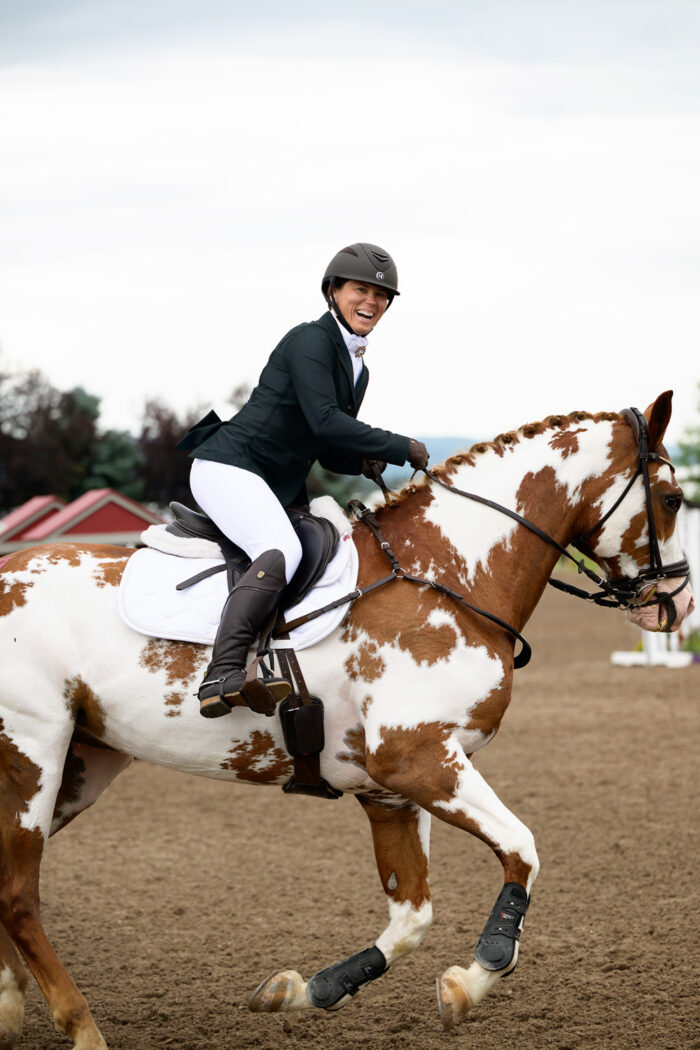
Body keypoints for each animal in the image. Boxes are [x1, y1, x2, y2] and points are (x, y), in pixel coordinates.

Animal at [0, 391, 693, 1050]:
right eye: (673, 498)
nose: (677, 606)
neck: (447, 577)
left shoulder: (390, 789)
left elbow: (412, 917)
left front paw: (306, 991)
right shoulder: (416, 758)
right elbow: (522, 849)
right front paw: (481, 971)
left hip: (85, 764)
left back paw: (10, 1014)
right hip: (32, 758)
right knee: (17, 897)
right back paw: (82, 1028)